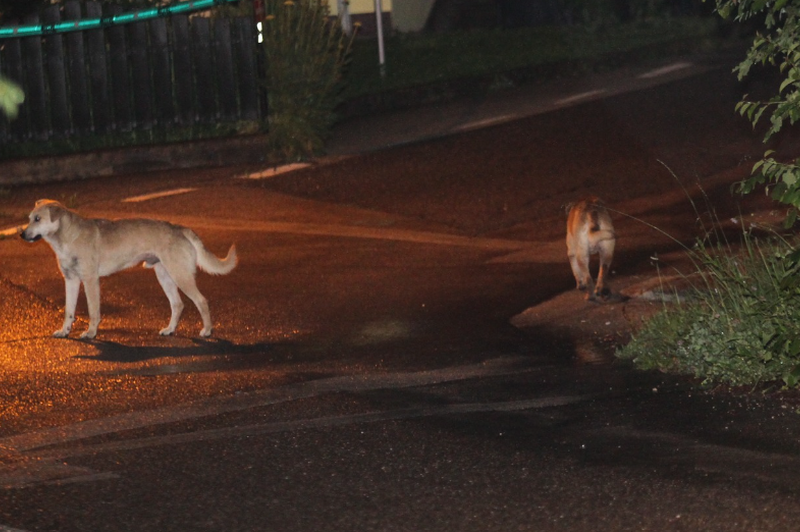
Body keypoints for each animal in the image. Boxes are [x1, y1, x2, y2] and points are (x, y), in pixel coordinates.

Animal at [20, 197, 236, 338]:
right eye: (29, 218)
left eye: (38, 219)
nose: (22, 234)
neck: (67, 237)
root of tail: (180, 228)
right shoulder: (71, 280)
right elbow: (69, 311)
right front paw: (65, 331)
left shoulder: (90, 280)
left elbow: (93, 310)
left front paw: (91, 333)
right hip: (164, 276)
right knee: (178, 304)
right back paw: (170, 330)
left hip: (180, 276)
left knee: (201, 301)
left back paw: (207, 331)